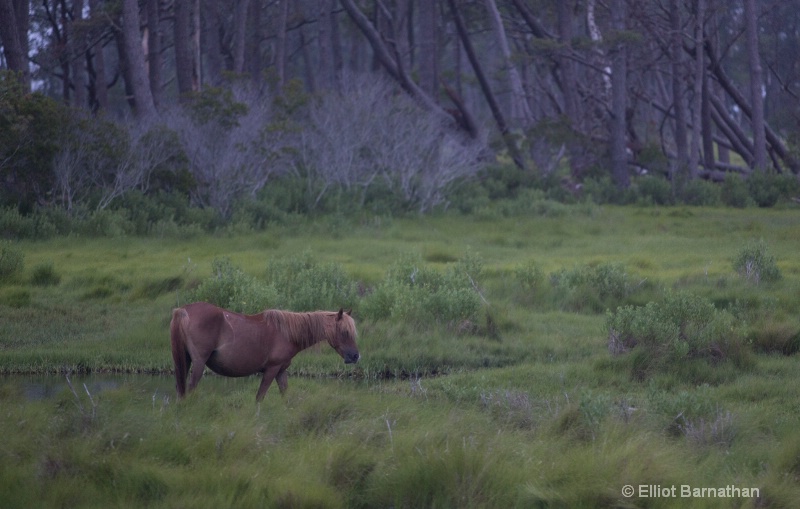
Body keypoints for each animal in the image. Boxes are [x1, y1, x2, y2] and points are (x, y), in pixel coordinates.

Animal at [170, 302, 360, 400]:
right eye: (345, 332)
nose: (356, 356)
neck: (287, 333)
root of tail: (184, 310)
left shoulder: (281, 372)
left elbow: (285, 396)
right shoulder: (271, 370)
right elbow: (260, 397)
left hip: (185, 361)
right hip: (198, 364)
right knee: (190, 389)